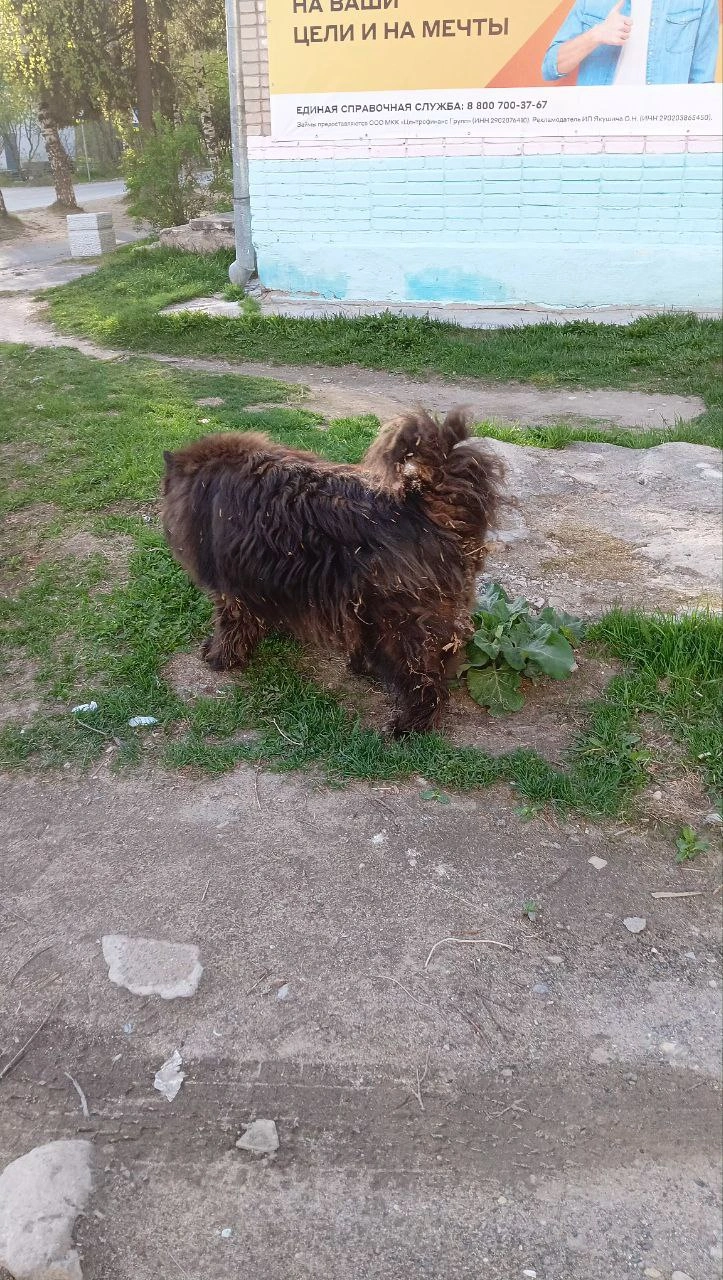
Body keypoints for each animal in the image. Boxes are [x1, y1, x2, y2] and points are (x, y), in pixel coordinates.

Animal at [162, 407, 501, 732]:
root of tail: (427, 502)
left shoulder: (231, 590)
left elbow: (229, 627)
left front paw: (219, 657)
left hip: (399, 624)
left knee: (427, 680)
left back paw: (409, 726)